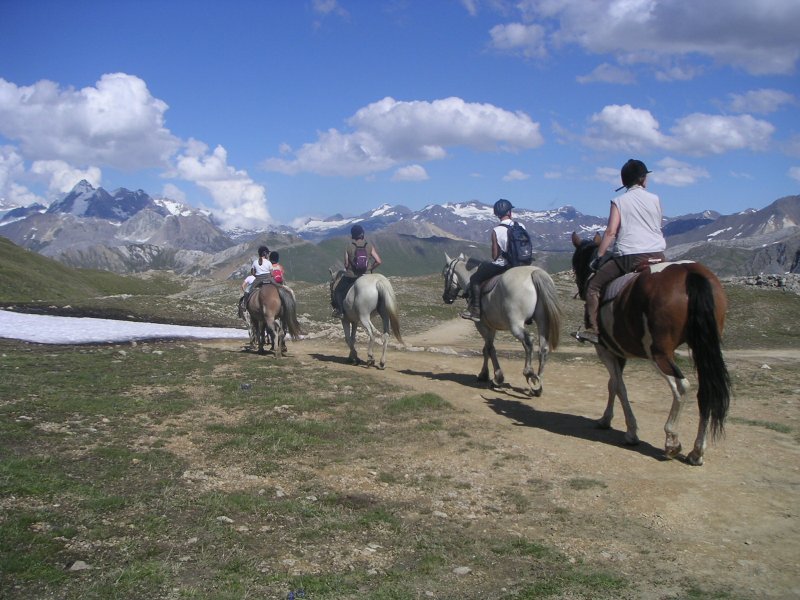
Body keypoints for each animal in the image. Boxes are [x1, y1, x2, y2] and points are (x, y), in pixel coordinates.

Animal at [444, 254, 564, 398]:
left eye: (445, 274)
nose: (445, 297)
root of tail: (534, 273)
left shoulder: (481, 325)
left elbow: (489, 349)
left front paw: (494, 377)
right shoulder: (491, 327)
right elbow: (487, 348)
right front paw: (488, 375)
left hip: (515, 324)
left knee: (528, 341)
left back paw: (529, 372)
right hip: (542, 321)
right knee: (543, 348)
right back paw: (537, 385)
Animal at [568, 232, 732, 466]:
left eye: (575, 263)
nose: (581, 289)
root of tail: (690, 273)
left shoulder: (605, 350)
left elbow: (619, 387)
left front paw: (631, 432)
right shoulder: (618, 353)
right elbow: (612, 385)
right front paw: (605, 419)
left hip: (659, 354)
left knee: (681, 386)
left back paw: (672, 441)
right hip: (702, 348)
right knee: (705, 392)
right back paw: (697, 452)